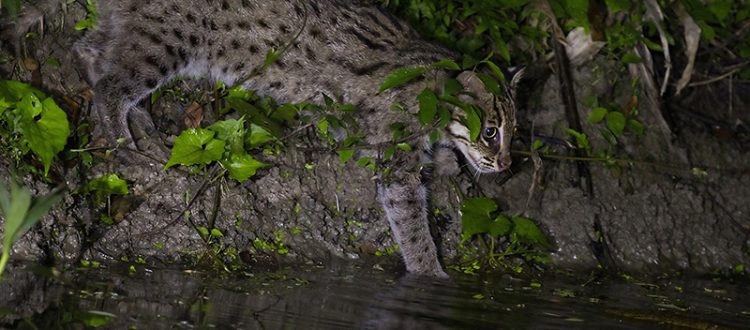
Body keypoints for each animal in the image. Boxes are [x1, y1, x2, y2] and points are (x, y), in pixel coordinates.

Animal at [20, 0, 524, 278]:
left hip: (132, 31)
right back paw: (125, 142)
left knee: (88, 49)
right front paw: (430, 274)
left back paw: (140, 119)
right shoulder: (393, 156)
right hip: (165, 43)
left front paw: (447, 162)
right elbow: (411, 221)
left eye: (513, 133)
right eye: (491, 131)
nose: (506, 166)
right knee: (110, 85)